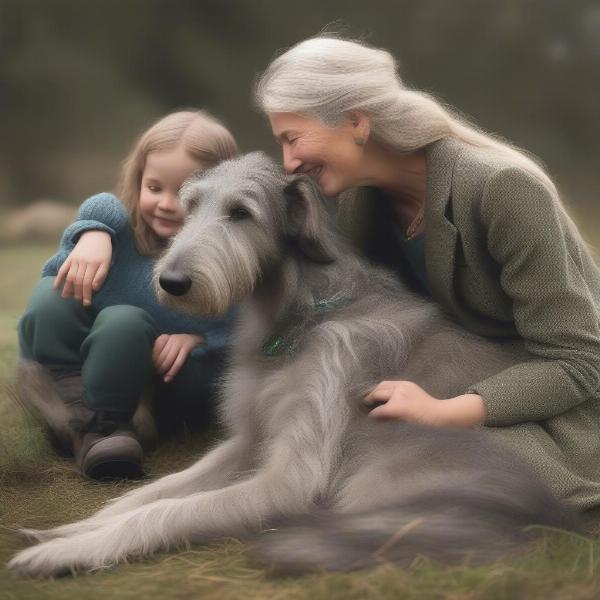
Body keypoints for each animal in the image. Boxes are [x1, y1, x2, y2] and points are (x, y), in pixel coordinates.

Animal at [8, 152, 572, 576]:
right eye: (190, 206)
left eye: (241, 212)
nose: (170, 282)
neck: (300, 318)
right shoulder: (246, 441)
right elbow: (149, 493)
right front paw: (67, 530)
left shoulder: (289, 479)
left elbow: (169, 510)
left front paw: (69, 551)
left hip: (378, 480)